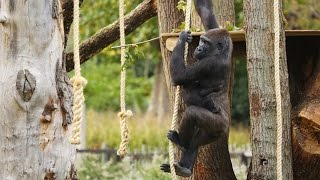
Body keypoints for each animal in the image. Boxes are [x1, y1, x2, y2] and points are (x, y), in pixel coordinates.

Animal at [160, 0, 232, 177]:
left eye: (206, 43)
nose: (198, 48)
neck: (221, 52)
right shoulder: (216, 30)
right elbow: (206, 12)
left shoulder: (208, 64)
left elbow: (179, 76)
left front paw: (181, 39)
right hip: (212, 134)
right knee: (196, 142)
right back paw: (184, 168)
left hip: (219, 125)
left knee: (192, 114)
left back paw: (181, 142)